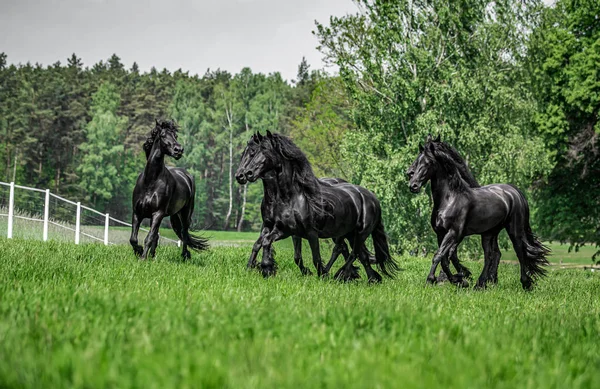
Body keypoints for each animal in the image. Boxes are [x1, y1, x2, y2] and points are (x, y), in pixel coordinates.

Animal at [130, 119, 207, 260]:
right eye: (163, 135)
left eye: (175, 136)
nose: (179, 150)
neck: (150, 181)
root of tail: (186, 175)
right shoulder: (137, 213)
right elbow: (134, 238)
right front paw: (139, 251)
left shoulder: (158, 213)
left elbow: (149, 238)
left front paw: (142, 258)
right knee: (158, 236)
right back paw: (153, 256)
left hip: (185, 214)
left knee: (184, 233)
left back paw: (184, 255)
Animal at [236, 131, 398, 282]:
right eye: (245, 152)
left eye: (260, 150)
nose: (242, 175)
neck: (289, 198)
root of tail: (373, 198)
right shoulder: (278, 228)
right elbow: (263, 244)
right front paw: (261, 267)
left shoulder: (308, 232)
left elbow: (315, 258)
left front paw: (320, 275)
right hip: (349, 234)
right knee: (357, 253)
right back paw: (370, 279)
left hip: (361, 233)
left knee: (352, 252)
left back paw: (340, 274)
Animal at [406, 136, 552, 288]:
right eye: (417, 160)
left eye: (428, 163)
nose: (413, 184)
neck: (450, 199)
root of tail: (515, 192)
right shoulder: (441, 233)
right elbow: (446, 258)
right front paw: (459, 279)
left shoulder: (454, 233)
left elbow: (439, 255)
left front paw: (432, 279)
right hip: (489, 233)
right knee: (491, 255)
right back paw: (482, 283)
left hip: (514, 230)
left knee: (519, 252)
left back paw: (525, 283)